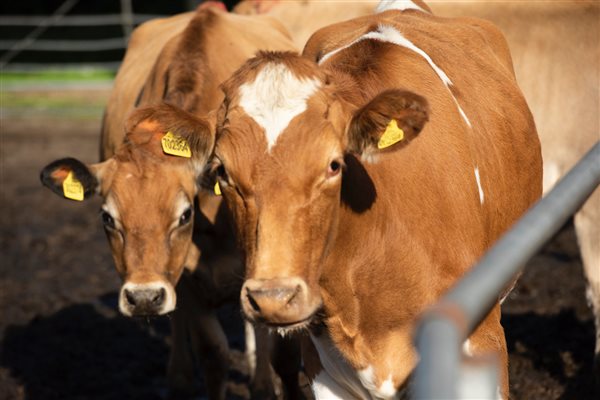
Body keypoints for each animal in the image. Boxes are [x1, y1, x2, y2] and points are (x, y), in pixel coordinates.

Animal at [39, 4, 300, 398]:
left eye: (184, 214)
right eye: (107, 218)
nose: (143, 298)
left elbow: (264, 372)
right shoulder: (184, 279)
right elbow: (213, 353)